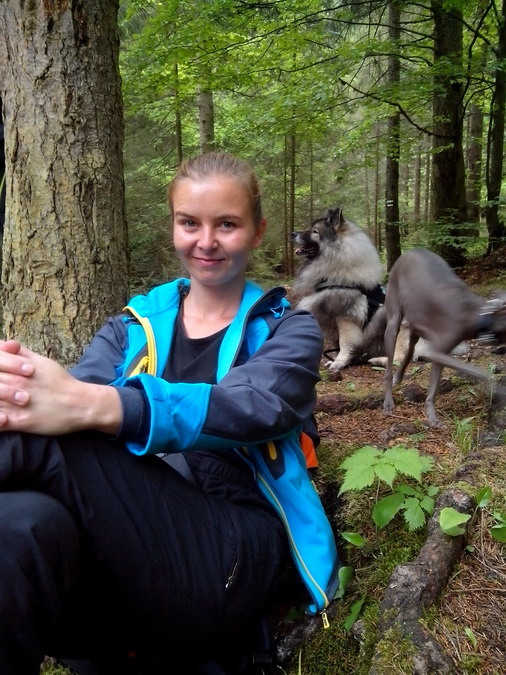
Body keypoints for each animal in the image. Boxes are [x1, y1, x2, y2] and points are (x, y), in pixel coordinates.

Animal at [384, 248, 506, 428]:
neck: (477, 314)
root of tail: (410, 252)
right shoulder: (437, 353)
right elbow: (480, 372)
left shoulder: (441, 355)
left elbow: (433, 389)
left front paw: (431, 415)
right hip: (393, 319)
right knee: (389, 365)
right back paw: (388, 402)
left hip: (416, 322)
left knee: (410, 348)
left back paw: (398, 377)